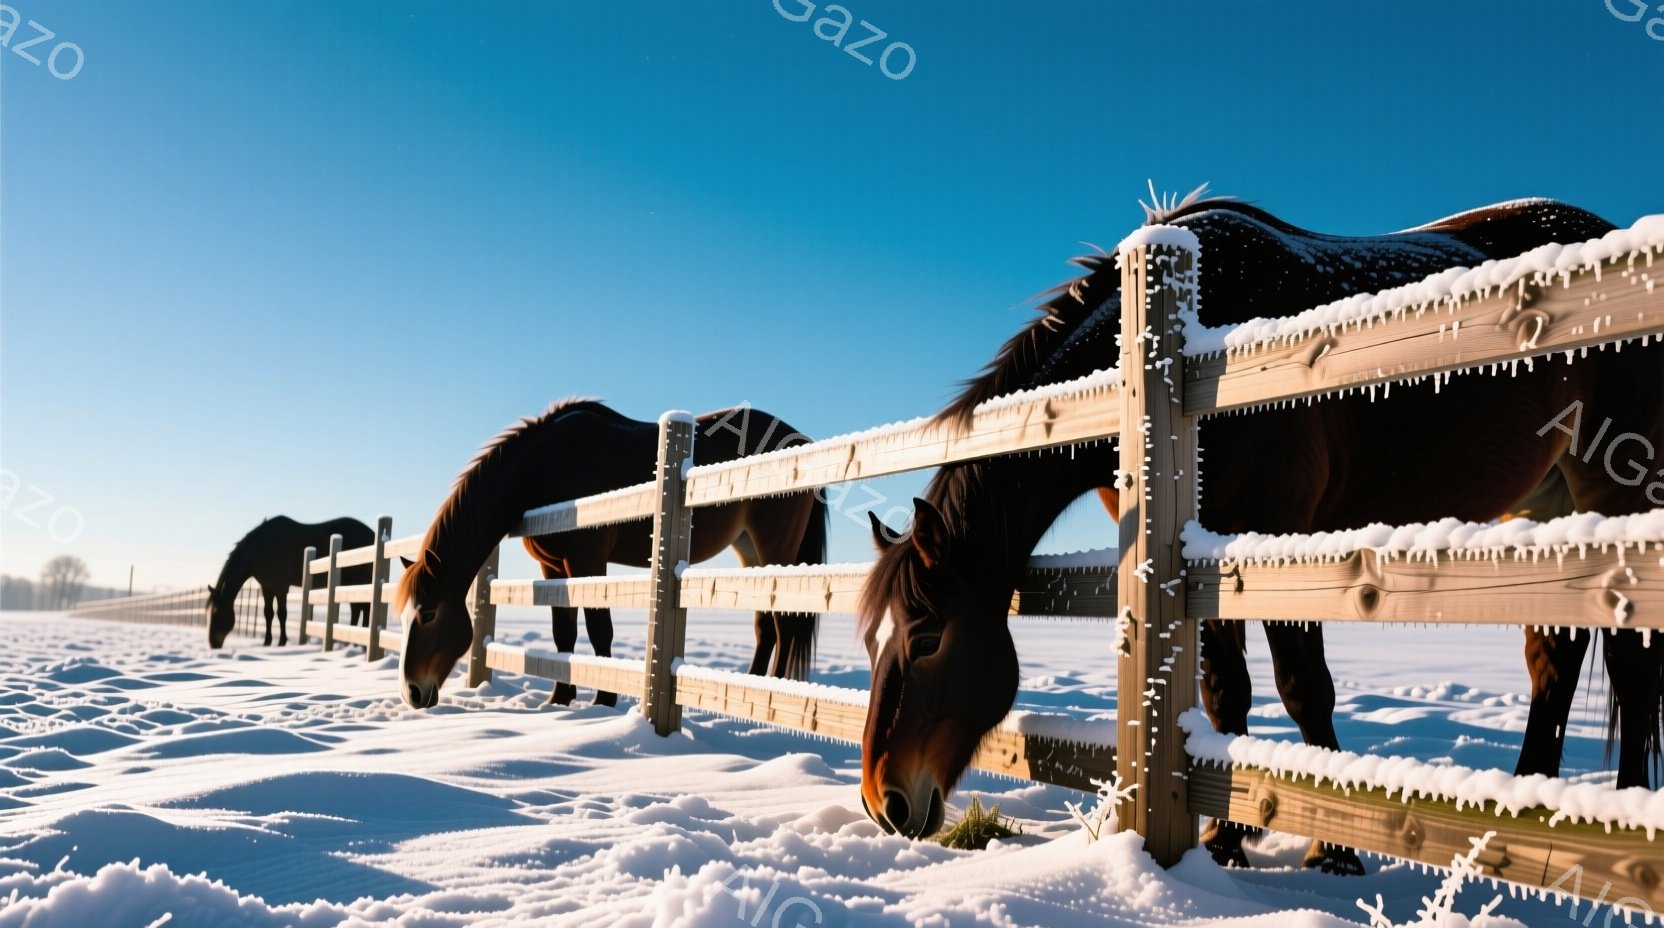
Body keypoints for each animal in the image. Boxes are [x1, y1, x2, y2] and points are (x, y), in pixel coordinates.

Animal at [206, 516, 373, 648]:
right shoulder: (266, 587)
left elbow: (282, 613)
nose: (213, 643)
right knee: (358, 609)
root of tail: (372, 533)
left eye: (216, 612)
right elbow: (268, 613)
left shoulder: (281, 587)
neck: (262, 548)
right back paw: (351, 642)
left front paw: (282, 641)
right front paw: (267, 641)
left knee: (363, 608)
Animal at [396, 399, 828, 710]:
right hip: (749, 550)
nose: (411, 692)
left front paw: (603, 701)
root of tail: (801, 442)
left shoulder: (588, 560)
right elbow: (564, 632)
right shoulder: (552, 566)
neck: (546, 466)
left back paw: (774, 696)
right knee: (765, 628)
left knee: (784, 625)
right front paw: (560, 698)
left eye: (429, 614)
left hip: (776, 548)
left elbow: (598, 628)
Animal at [856, 194, 1664, 872]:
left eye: (926, 639)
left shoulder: (1279, 536)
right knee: (1553, 658)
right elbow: (1223, 694)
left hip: (1616, 490)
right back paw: (1517, 821)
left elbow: (1304, 688)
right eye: (871, 641)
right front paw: (1225, 839)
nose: (883, 801)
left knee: (1631, 663)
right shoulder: (1193, 555)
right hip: (1542, 506)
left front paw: (1332, 852)